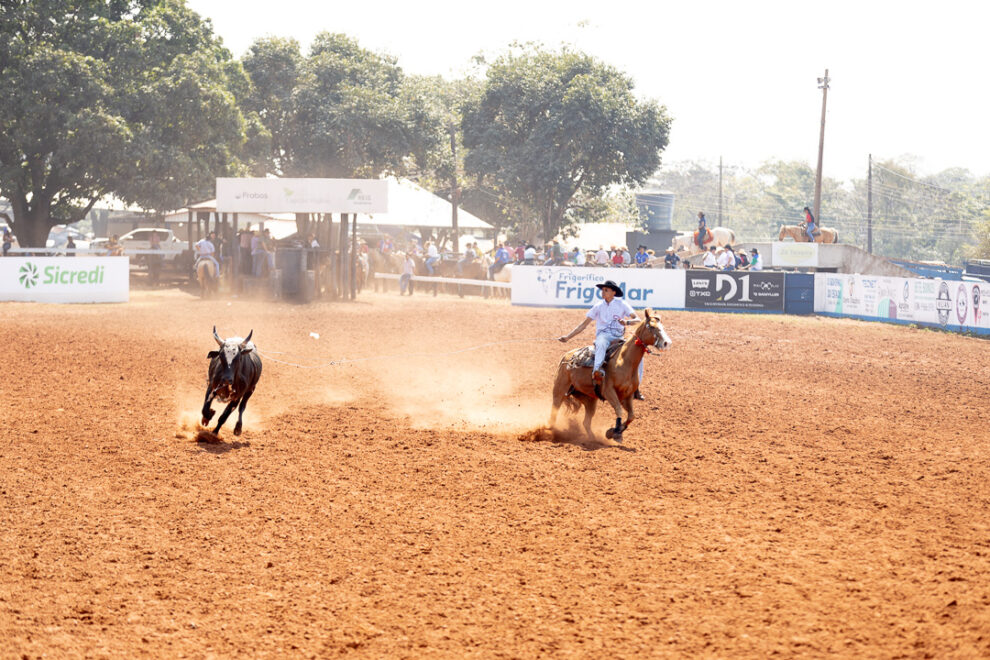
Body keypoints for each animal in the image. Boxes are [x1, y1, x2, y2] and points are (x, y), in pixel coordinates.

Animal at [552, 310, 676, 444]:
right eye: (652, 327)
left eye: (662, 326)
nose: (667, 343)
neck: (624, 361)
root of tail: (567, 357)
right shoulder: (609, 391)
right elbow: (619, 409)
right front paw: (615, 432)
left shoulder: (627, 395)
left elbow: (631, 416)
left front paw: (615, 431)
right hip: (559, 390)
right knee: (553, 414)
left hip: (589, 399)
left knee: (586, 422)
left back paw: (593, 440)